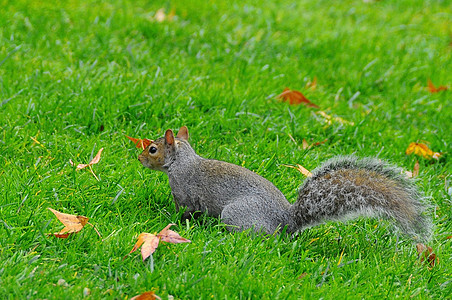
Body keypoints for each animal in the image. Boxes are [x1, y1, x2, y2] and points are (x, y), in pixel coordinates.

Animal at [137, 126, 430, 241]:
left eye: (152, 149)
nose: (138, 158)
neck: (183, 161)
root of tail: (286, 221)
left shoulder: (184, 193)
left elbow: (183, 212)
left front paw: (168, 217)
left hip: (235, 214)